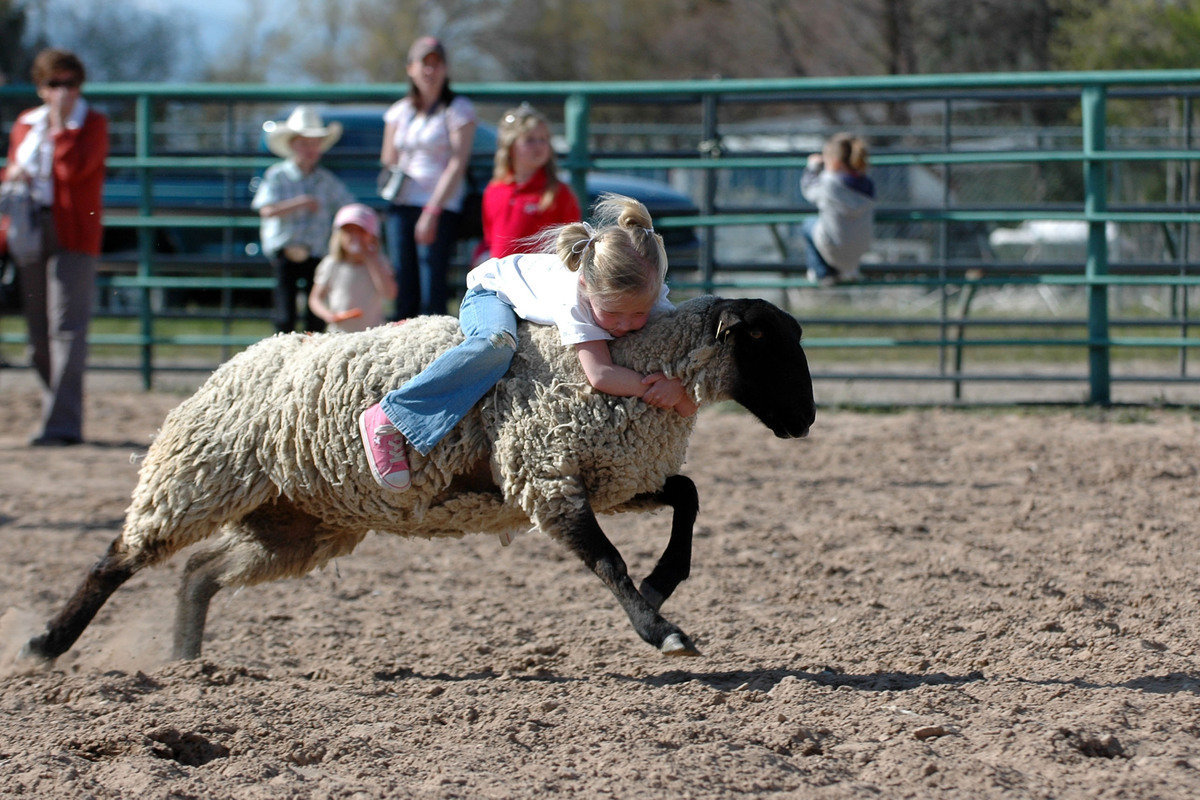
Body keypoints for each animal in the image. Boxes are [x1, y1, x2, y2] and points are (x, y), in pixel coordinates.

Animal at [23, 293, 816, 662]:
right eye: (767, 341)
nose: (806, 420)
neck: (631, 362)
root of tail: (235, 362)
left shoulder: (612, 475)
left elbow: (688, 497)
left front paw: (663, 584)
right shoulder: (546, 475)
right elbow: (607, 563)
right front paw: (661, 630)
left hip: (298, 521)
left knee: (200, 571)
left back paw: (186, 659)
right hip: (197, 477)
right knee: (118, 558)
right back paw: (46, 645)